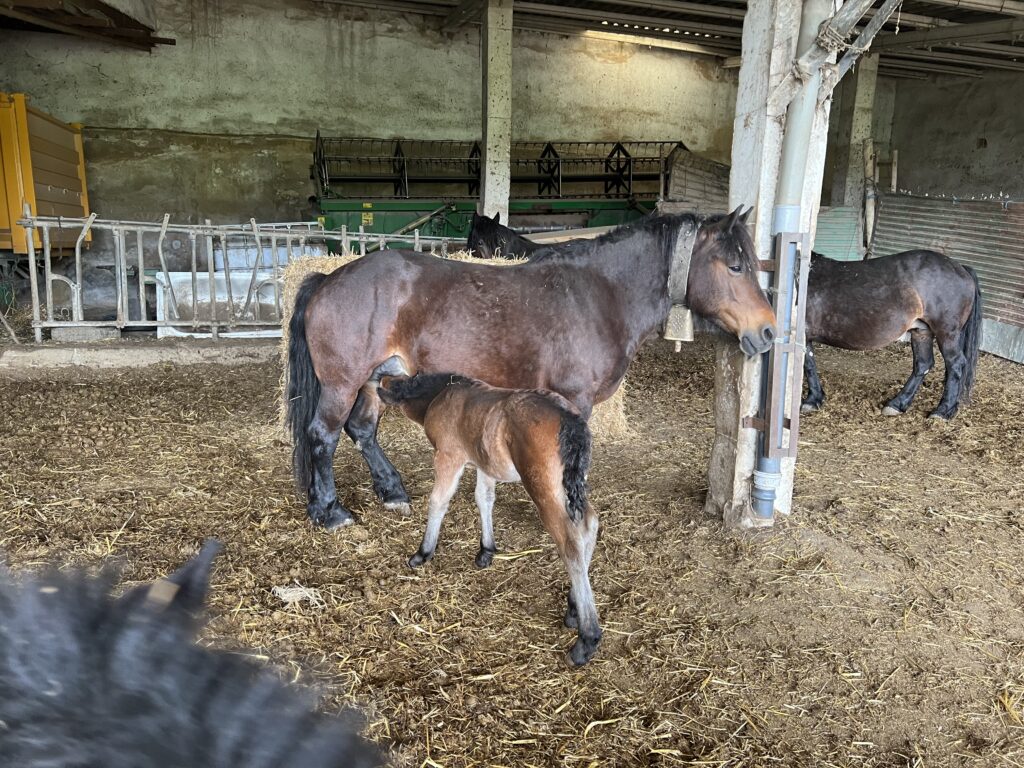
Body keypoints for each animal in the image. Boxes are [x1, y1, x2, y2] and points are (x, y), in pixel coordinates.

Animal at [286, 207, 776, 531]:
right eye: (736, 266)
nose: (769, 331)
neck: (599, 295)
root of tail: (328, 279)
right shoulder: (574, 399)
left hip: (374, 378)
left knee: (363, 430)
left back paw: (392, 492)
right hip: (343, 383)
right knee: (323, 435)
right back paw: (329, 511)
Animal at [377, 371, 601, 666]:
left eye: (396, 383)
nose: (379, 378)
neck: (441, 394)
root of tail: (570, 418)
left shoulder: (449, 456)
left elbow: (438, 501)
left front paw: (423, 552)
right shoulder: (484, 463)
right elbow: (484, 499)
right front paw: (486, 550)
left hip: (544, 488)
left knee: (571, 542)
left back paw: (586, 639)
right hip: (574, 484)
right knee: (589, 524)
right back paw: (574, 608)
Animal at [802, 250, 983, 420]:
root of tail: (960, 268)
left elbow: (808, 365)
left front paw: (811, 400)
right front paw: (815, 398)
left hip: (946, 333)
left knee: (955, 364)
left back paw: (943, 411)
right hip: (922, 332)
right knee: (923, 364)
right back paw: (897, 404)